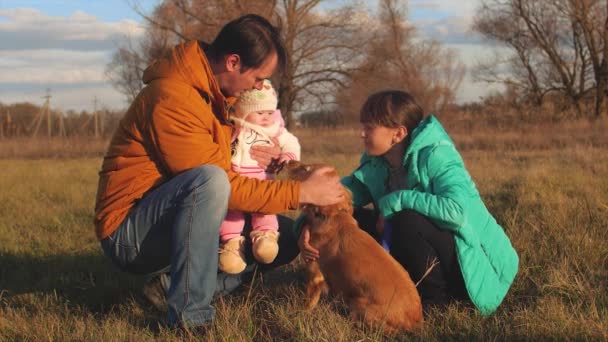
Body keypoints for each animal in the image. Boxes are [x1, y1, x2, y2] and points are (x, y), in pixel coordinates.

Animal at [288, 162, 422, 332]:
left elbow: (308, 303)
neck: (330, 216)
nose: (289, 162)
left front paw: (300, 315)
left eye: (307, 169)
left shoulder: (315, 273)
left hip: (360, 306)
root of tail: (417, 319)